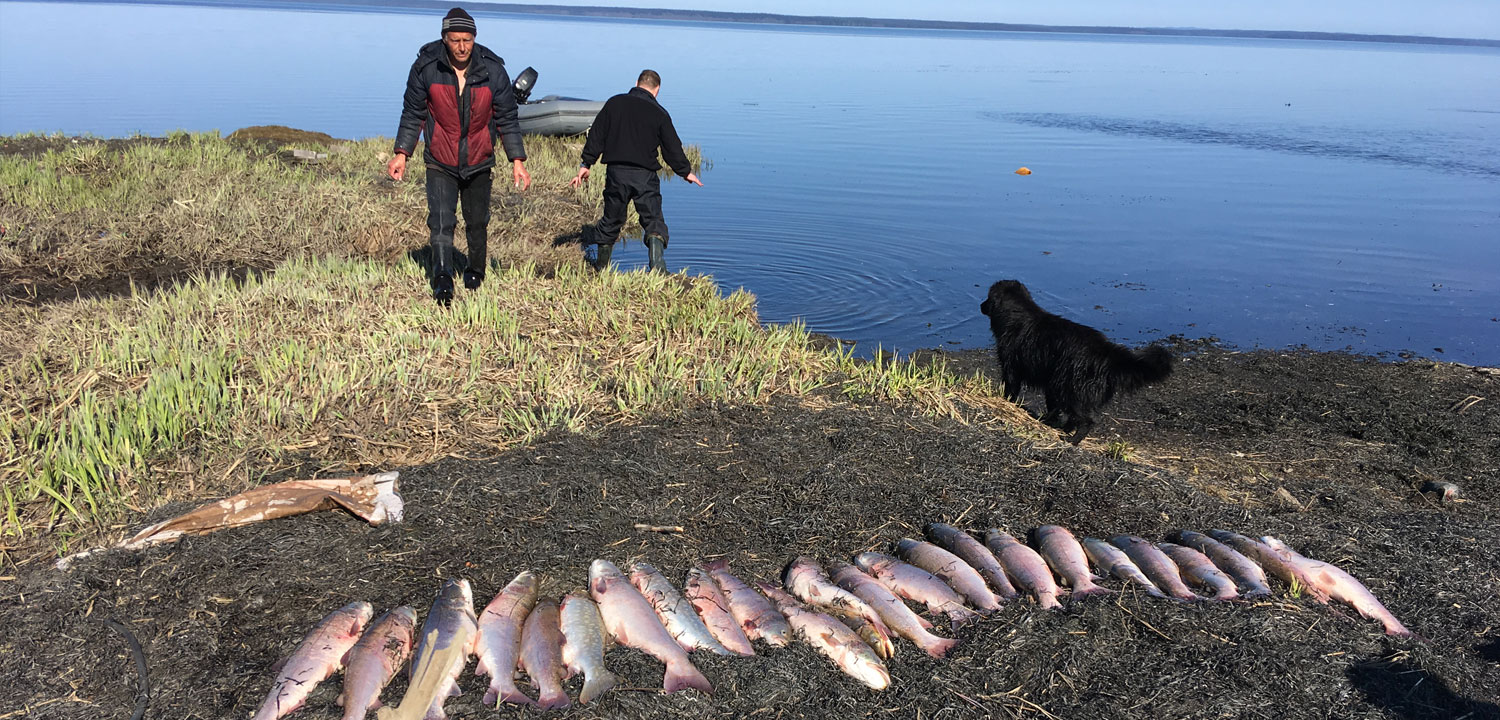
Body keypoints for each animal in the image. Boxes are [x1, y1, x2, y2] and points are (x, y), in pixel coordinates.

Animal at [978, 280, 1176, 444]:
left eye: (987, 298)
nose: (980, 305)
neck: (1018, 315)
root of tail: (1107, 353)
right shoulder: (1049, 384)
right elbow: (1053, 408)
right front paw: (1050, 421)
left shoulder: (1012, 368)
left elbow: (1011, 389)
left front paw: (1006, 402)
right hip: (1064, 386)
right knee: (1074, 417)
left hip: (1071, 389)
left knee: (1086, 420)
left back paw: (1073, 440)